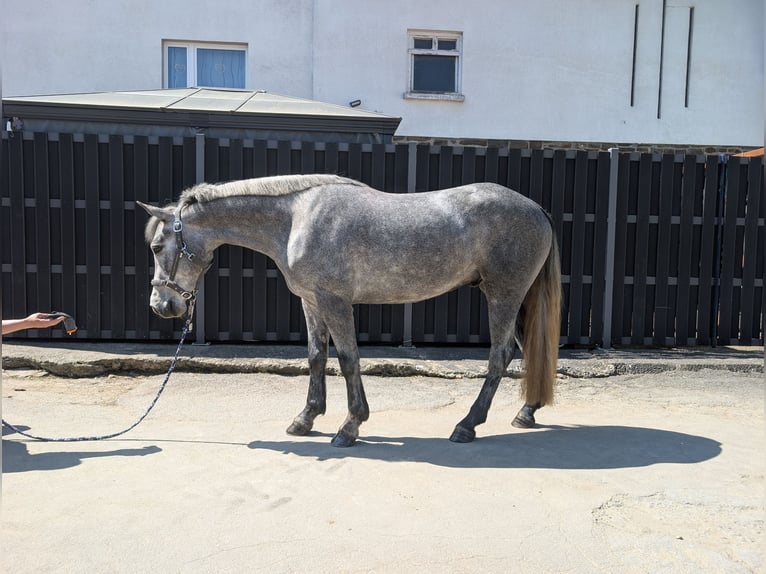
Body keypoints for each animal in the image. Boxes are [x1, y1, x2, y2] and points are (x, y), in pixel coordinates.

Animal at [138, 174, 561, 447]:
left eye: (157, 247)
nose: (161, 306)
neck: (296, 218)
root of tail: (537, 208)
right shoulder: (311, 301)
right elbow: (315, 356)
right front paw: (305, 419)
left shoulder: (334, 301)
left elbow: (347, 359)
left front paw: (350, 426)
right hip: (517, 298)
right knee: (528, 351)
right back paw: (527, 411)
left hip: (503, 294)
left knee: (500, 356)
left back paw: (467, 425)